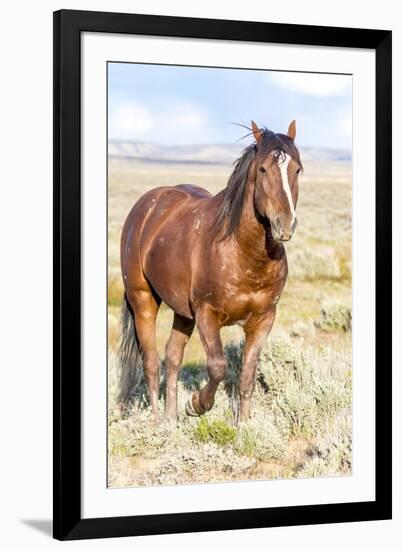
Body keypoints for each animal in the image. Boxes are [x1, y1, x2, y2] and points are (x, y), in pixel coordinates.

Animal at [118, 121, 304, 422]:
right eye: (263, 169)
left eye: (296, 169)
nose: (284, 224)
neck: (245, 255)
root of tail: (147, 205)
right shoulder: (207, 313)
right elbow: (218, 366)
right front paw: (196, 403)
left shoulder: (264, 319)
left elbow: (247, 376)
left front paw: (244, 425)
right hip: (143, 301)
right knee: (151, 361)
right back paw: (157, 421)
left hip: (183, 313)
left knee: (172, 356)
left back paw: (171, 419)